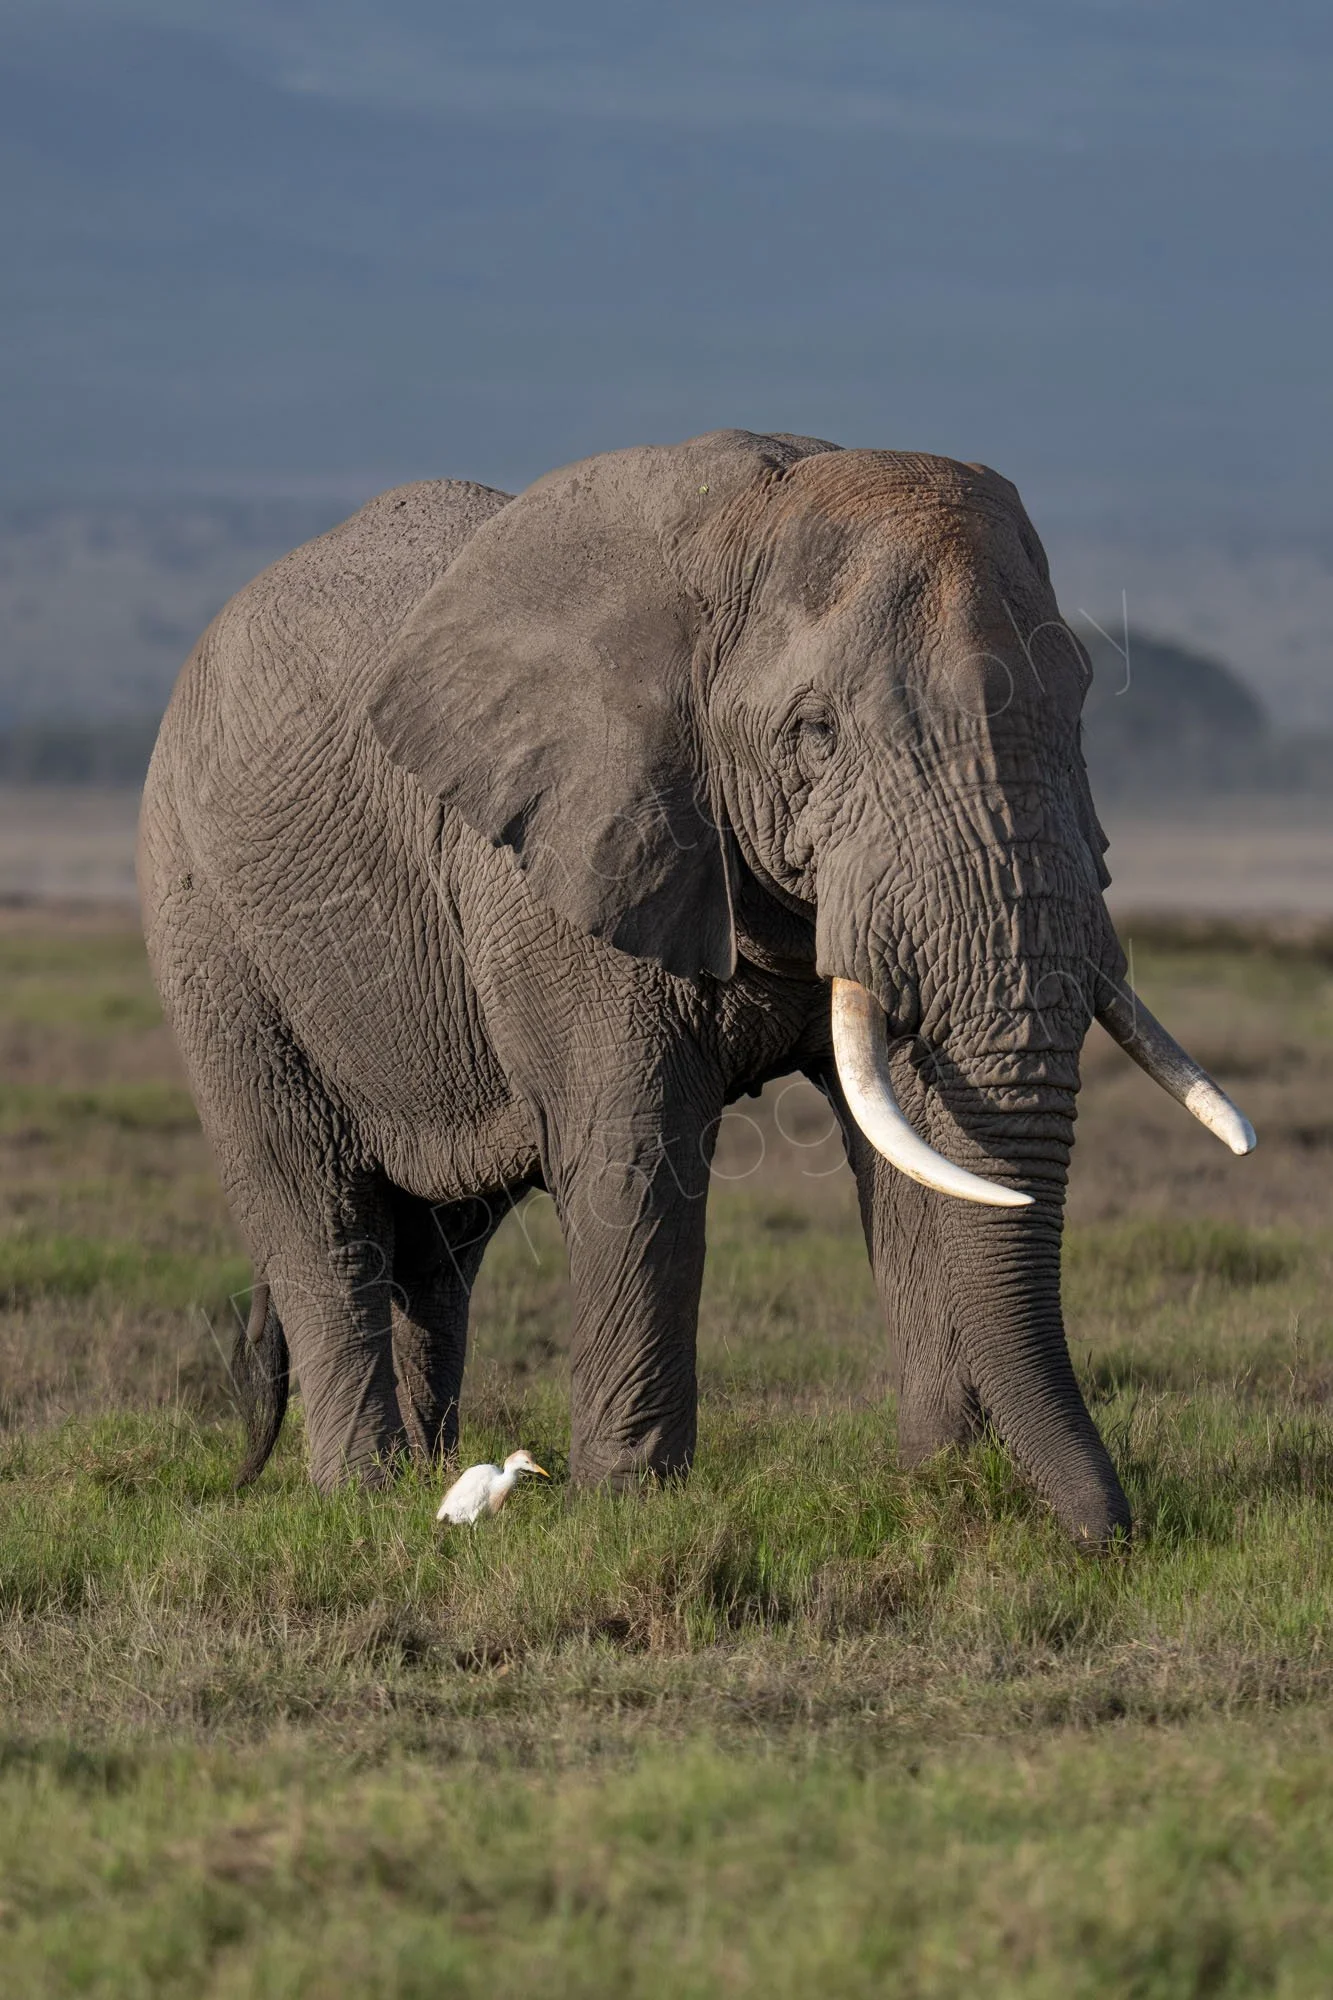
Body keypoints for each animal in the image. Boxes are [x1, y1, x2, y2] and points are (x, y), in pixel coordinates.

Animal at [138, 429, 1254, 1547]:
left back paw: (430, 1473)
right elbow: (635, 1149)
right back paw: (366, 1493)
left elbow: (913, 1152)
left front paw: (937, 1482)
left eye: (1080, 707)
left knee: (440, 1247)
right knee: (311, 1201)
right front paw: (627, 1505)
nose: (1111, 1537)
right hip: (201, 917)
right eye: (815, 733)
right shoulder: (565, 858)